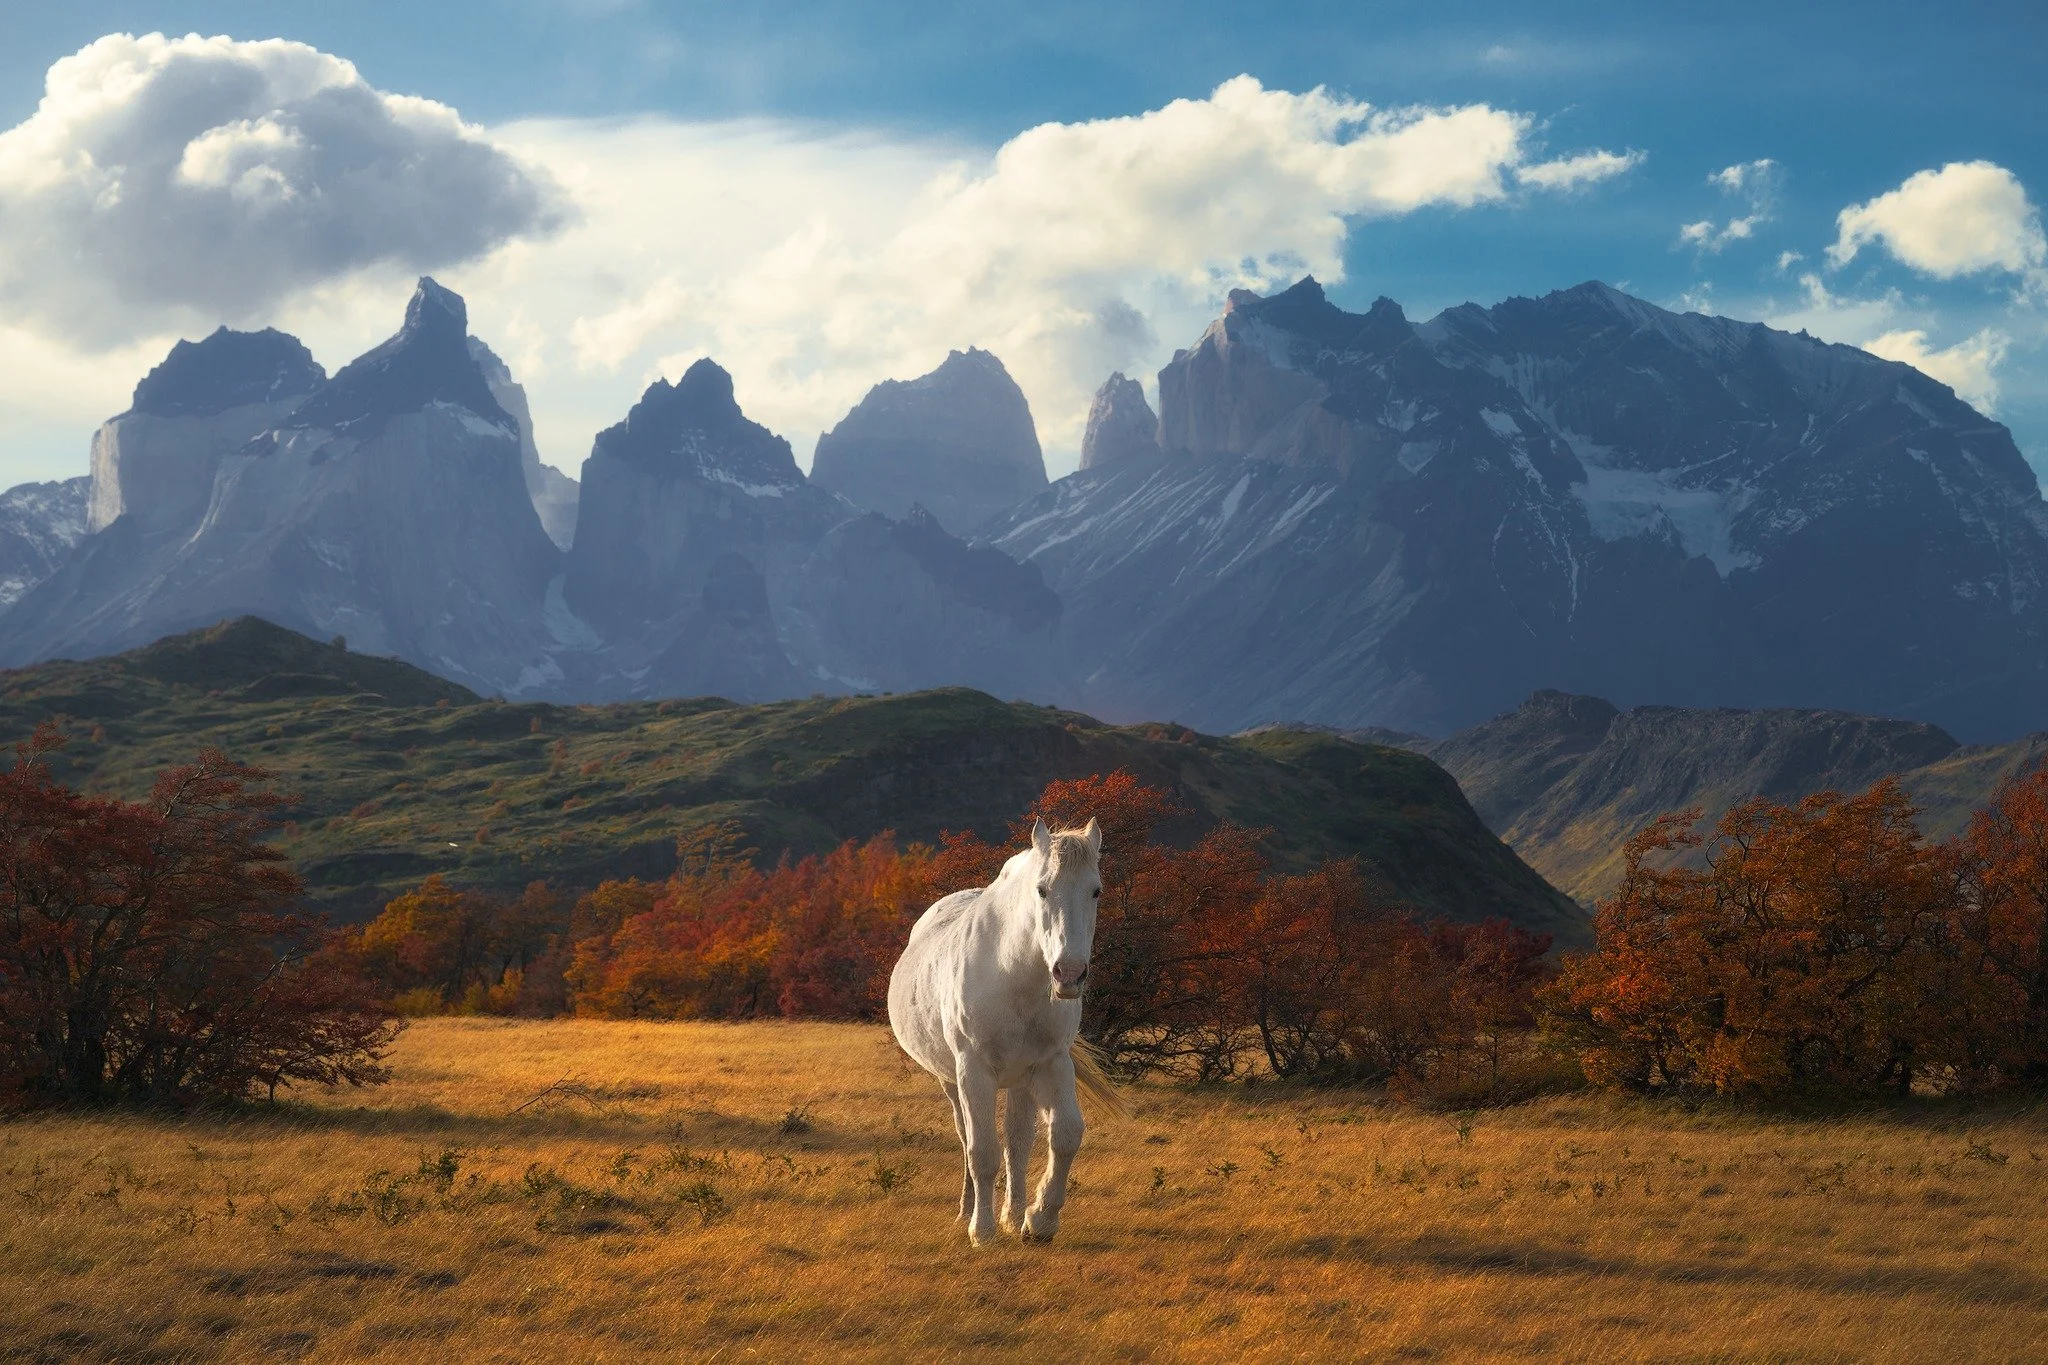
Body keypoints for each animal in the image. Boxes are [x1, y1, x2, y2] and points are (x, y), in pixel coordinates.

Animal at [887, 816, 1127, 1245]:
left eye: (1096, 890)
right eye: (1042, 889)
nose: (1069, 974)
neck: (1013, 973)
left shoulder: (1052, 1064)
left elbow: (1065, 1135)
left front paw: (1040, 1220)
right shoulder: (973, 1072)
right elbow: (982, 1152)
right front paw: (981, 1231)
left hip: (1021, 1080)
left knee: (1017, 1142)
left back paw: (1014, 1216)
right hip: (952, 1082)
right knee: (967, 1138)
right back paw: (967, 1212)